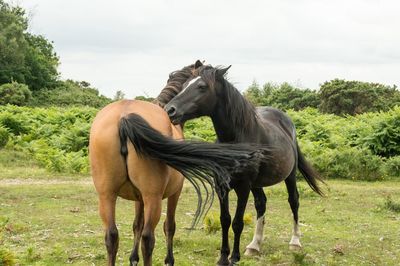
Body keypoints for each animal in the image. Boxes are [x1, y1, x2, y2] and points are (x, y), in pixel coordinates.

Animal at [88, 62, 268, 266]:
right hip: (151, 198)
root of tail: (124, 117)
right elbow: (169, 226)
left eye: (200, 87)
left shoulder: (139, 198)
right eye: (186, 86)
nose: (171, 110)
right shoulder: (174, 193)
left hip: (107, 195)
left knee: (112, 236)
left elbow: (136, 225)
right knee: (148, 238)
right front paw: (169, 260)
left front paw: (133, 259)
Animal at [166, 65, 324, 266]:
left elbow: (237, 222)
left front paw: (234, 257)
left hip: (289, 176)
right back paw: (254, 245)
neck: (236, 140)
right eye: (185, 84)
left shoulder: (243, 187)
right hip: (257, 184)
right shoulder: (222, 186)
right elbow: (225, 220)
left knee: (294, 201)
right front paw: (223, 257)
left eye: (202, 86)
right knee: (261, 204)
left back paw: (295, 242)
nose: (170, 110)